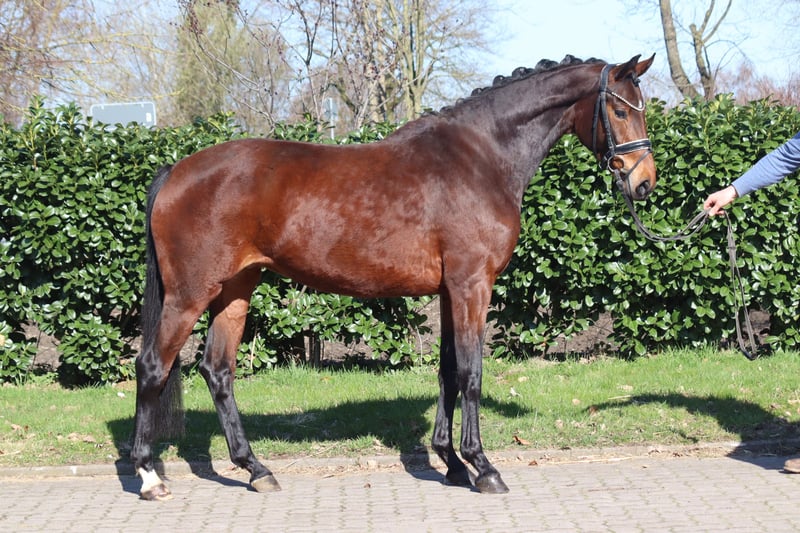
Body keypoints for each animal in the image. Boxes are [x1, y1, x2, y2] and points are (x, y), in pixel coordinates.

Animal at [131, 54, 656, 500]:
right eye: (619, 109)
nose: (644, 182)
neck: (481, 157)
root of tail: (177, 171)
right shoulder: (472, 285)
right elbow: (471, 372)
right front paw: (482, 467)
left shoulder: (449, 291)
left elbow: (447, 370)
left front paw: (451, 463)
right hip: (189, 294)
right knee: (153, 366)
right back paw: (149, 475)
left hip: (237, 290)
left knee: (217, 370)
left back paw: (257, 469)